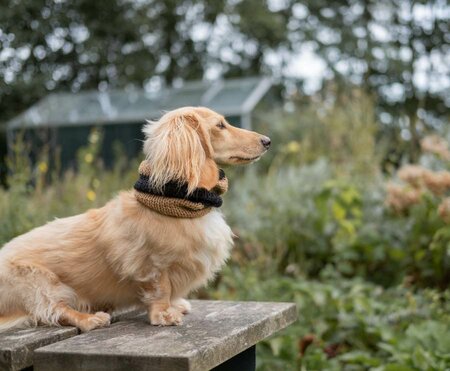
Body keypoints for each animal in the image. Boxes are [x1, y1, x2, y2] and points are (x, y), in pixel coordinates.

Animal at [0, 106, 270, 332]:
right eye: (220, 125)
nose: (267, 141)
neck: (177, 204)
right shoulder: (151, 265)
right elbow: (160, 289)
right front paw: (164, 314)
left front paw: (176, 304)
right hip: (39, 285)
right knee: (55, 311)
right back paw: (91, 319)